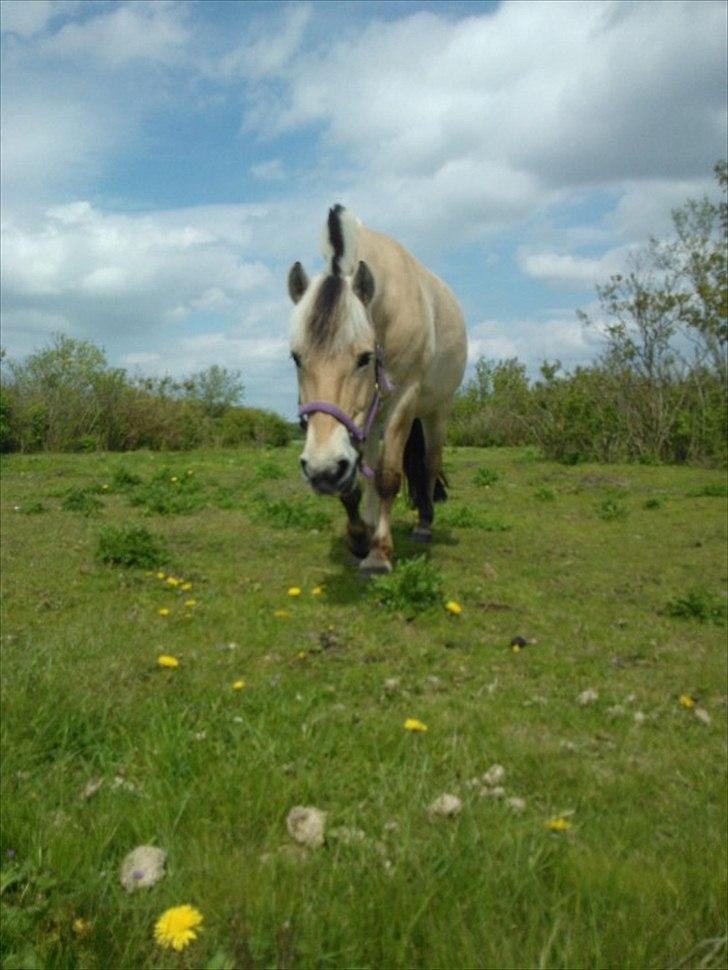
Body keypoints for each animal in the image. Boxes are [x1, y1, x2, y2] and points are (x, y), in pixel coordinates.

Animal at [286, 200, 466, 572]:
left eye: (364, 357)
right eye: (296, 357)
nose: (322, 470)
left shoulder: (403, 400)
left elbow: (387, 476)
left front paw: (379, 552)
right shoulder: (356, 424)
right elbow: (356, 479)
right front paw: (359, 537)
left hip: (435, 412)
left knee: (430, 463)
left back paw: (424, 525)